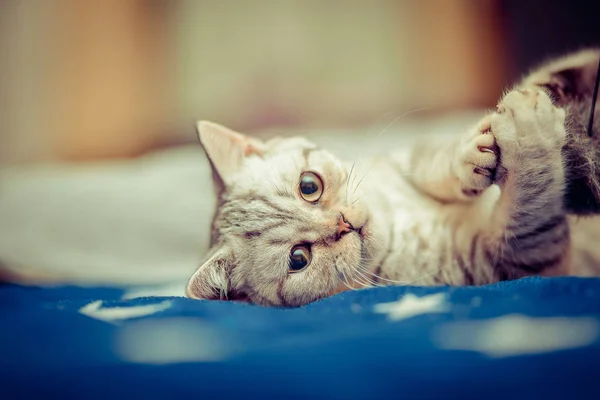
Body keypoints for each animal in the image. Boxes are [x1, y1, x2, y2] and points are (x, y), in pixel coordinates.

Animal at [188, 48, 600, 308]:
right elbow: (533, 190)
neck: (398, 219)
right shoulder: (512, 256)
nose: (344, 224)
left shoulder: (404, 159)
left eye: (309, 186)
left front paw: (469, 156)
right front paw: (529, 128)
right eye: (299, 258)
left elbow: (434, 159)